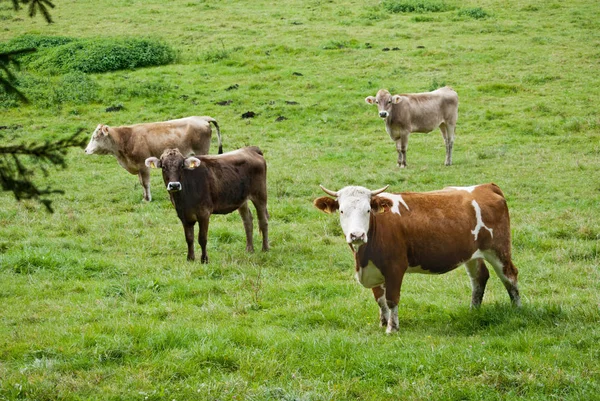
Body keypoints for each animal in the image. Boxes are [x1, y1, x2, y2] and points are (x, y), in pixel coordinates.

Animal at [84, 116, 223, 202]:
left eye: (95, 137)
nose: (86, 150)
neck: (126, 139)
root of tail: (201, 118)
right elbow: (141, 183)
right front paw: (144, 197)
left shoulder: (143, 166)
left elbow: (145, 183)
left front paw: (148, 199)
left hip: (202, 151)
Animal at [314, 183, 520, 332]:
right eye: (342, 211)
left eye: (367, 210)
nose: (357, 235)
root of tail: (486, 186)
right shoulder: (373, 269)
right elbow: (380, 300)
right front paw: (383, 323)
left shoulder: (395, 267)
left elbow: (391, 299)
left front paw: (392, 328)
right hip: (471, 254)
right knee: (479, 278)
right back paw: (473, 311)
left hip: (498, 248)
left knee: (510, 276)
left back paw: (517, 309)